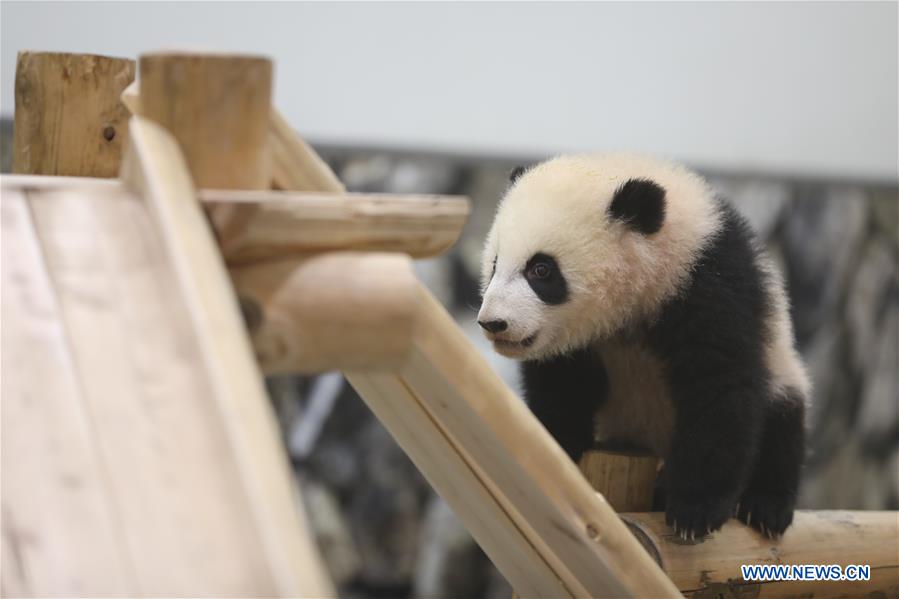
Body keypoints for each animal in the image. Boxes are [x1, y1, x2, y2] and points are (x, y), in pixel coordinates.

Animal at [477, 153, 810, 540]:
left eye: (541, 270)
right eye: (495, 264)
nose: (493, 323)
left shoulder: (710, 283)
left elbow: (719, 386)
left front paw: (695, 511)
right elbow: (562, 387)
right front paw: (554, 450)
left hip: (781, 367)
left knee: (782, 424)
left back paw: (763, 506)